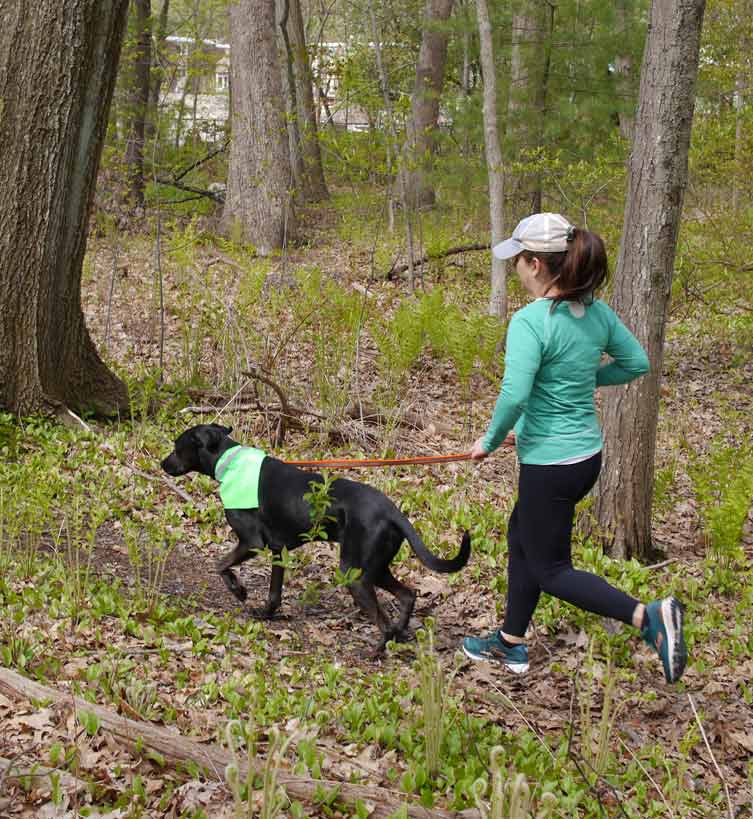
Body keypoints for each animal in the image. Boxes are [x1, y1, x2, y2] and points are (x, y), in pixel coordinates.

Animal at [163, 426, 470, 652]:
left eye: (177, 447)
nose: (162, 463)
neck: (229, 462)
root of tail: (392, 511)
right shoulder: (278, 550)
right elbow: (274, 592)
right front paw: (266, 613)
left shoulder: (252, 542)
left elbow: (220, 564)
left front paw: (238, 589)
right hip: (375, 568)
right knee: (408, 595)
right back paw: (398, 633)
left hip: (355, 573)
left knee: (382, 619)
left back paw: (375, 650)